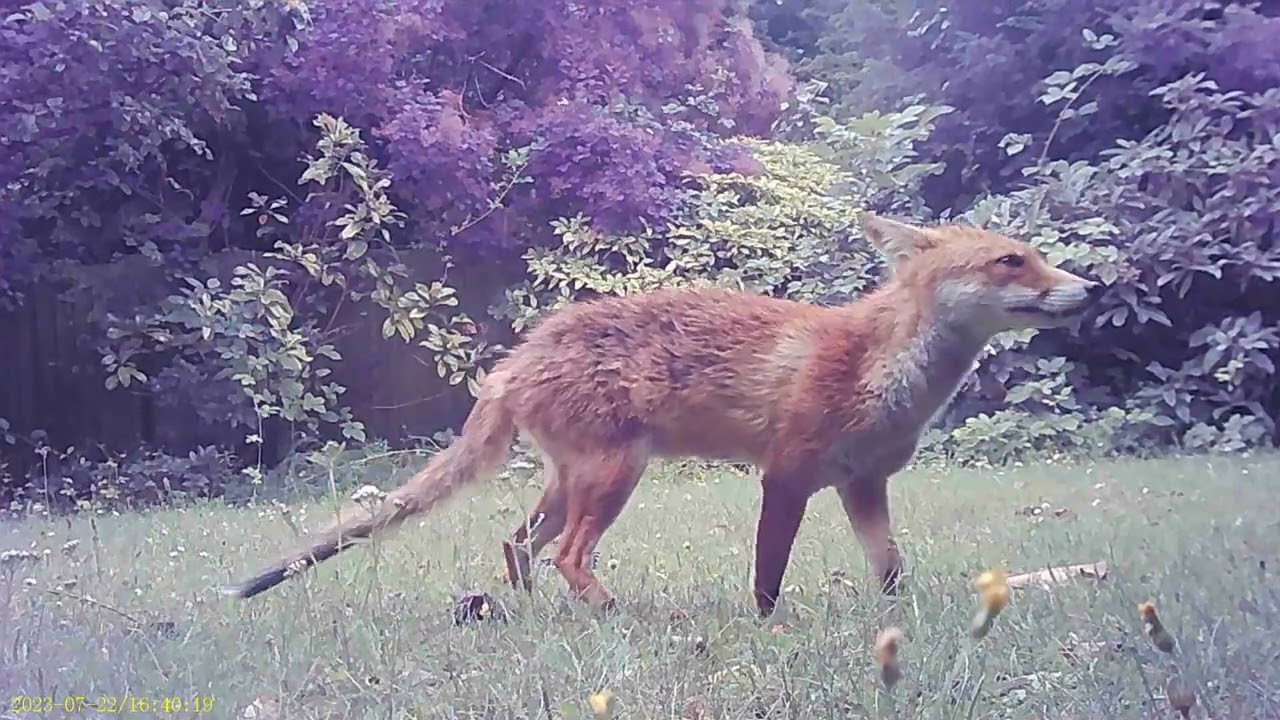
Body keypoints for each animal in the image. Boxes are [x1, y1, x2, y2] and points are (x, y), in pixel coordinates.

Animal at [223, 213, 1103, 617]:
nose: (1091, 290)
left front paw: (897, 621)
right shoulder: (786, 476)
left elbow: (890, 570)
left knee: (517, 544)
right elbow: (767, 577)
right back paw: (615, 614)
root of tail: (515, 359)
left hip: (568, 481)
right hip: (615, 476)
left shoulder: (863, 484)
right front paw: (768, 627)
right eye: (1010, 261)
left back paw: (529, 613)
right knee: (568, 555)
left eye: (1034, 255)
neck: (882, 369)